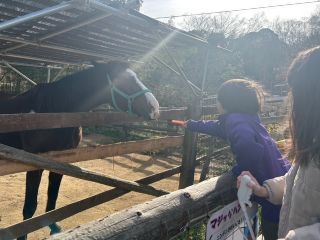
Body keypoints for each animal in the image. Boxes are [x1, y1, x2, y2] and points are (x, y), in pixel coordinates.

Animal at [0, 60, 159, 240]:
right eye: (124, 80)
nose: (154, 108)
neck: (55, 112)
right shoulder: (34, 163)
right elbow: (29, 207)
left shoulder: (61, 161)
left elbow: (53, 197)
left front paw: (54, 229)